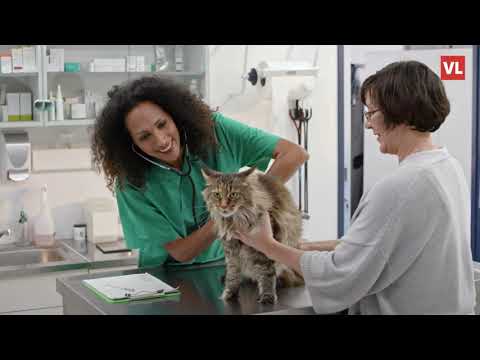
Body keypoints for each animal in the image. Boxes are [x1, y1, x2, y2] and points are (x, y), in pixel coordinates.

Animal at [202, 166, 304, 304]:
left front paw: (267, 297)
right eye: (217, 194)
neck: (235, 221)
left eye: (233, 194)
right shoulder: (231, 253)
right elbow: (232, 276)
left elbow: (267, 274)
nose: (223, 206)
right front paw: (229, 294)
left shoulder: (263, 252)